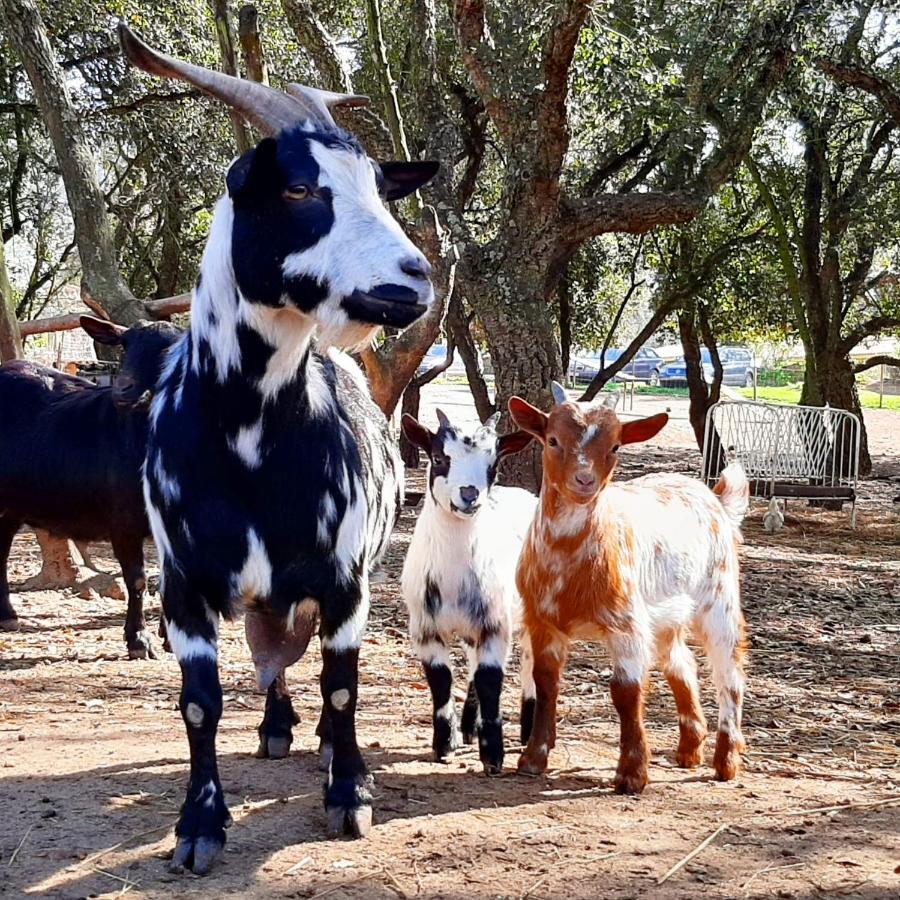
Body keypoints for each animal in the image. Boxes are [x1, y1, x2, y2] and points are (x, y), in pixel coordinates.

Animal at [0, 316, 181, 652]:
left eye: (169, 349)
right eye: (124, 345)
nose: (123, 390)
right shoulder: (123, 520)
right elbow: (137, 579)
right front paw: (138, 639)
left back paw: (7, 614)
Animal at [120, 26, 440, 872]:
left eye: (379, 187)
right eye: (298, 189)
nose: (415, 278)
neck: (250, 443)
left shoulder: (345, 580)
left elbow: (344, 685)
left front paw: (349, 791)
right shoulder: (183, 585)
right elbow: (199, 706)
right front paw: (198, 825)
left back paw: (323, 744)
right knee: (271, 663)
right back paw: (274, 726)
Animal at [400, 414, 536, 772]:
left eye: (494, 463)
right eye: (438, 458)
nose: (469, 494)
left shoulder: (495, 624)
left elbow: (491, 681)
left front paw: (494, 755)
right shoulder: (426, 627)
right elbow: (441, 680)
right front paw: (445, 743)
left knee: (531, 663)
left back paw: (530, 730)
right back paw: (468, 727)